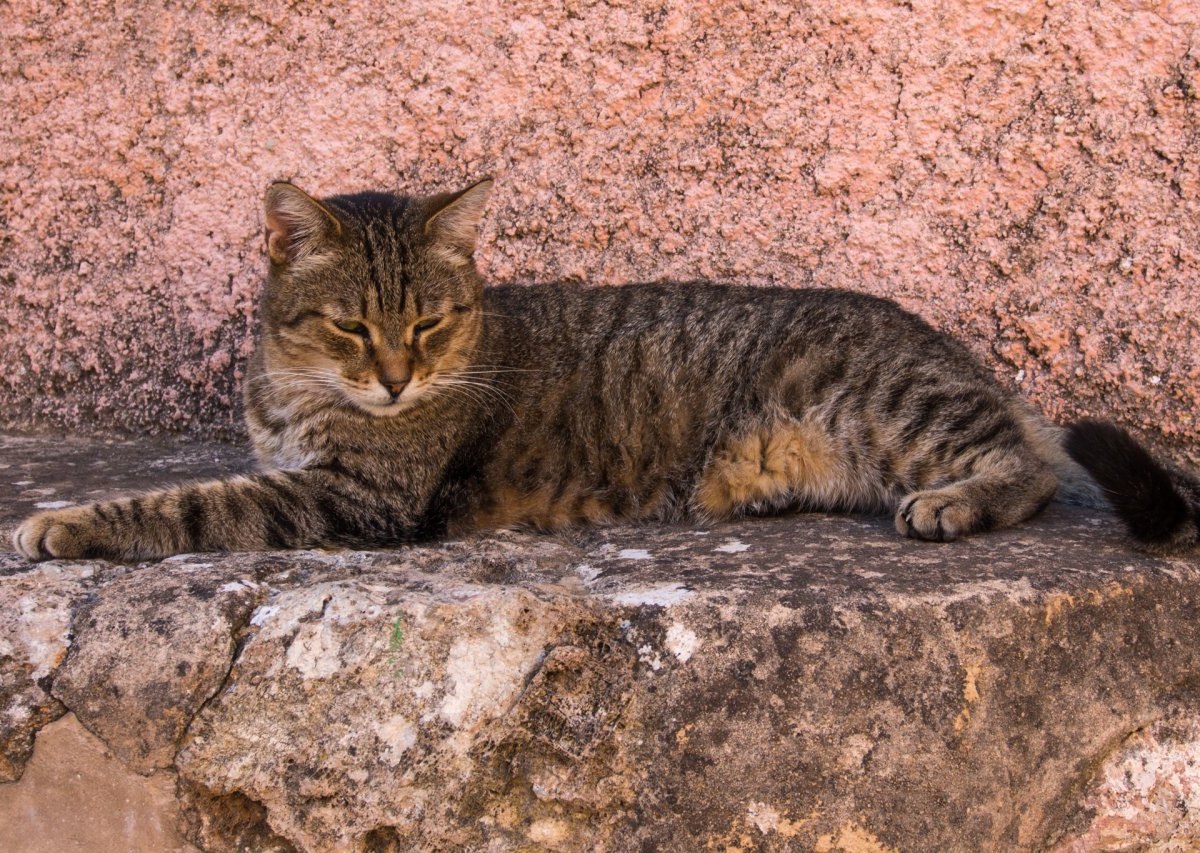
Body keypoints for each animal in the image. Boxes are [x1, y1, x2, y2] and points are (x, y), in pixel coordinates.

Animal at [11, 177, 1200, 563]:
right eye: (354, 328)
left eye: (428, 324)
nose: (394, 381)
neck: (295, 394)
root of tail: (966, 358)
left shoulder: (361, 499)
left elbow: (190, 504)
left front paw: (65, 521)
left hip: (896, 402)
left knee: (1029, 464)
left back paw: (958, 501)